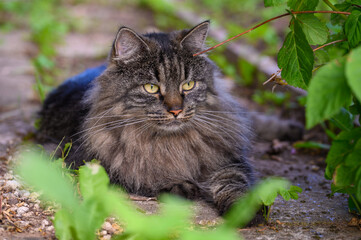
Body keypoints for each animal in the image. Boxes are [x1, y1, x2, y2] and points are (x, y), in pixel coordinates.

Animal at [38, 20, 258, 216]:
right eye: (151, 88)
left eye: (188, 85)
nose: (176, 110)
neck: (170, 143)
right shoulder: (87, 163)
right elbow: (145, 174)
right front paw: (179, 185)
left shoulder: (228, 161)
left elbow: (233, 182)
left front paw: (243, 210)